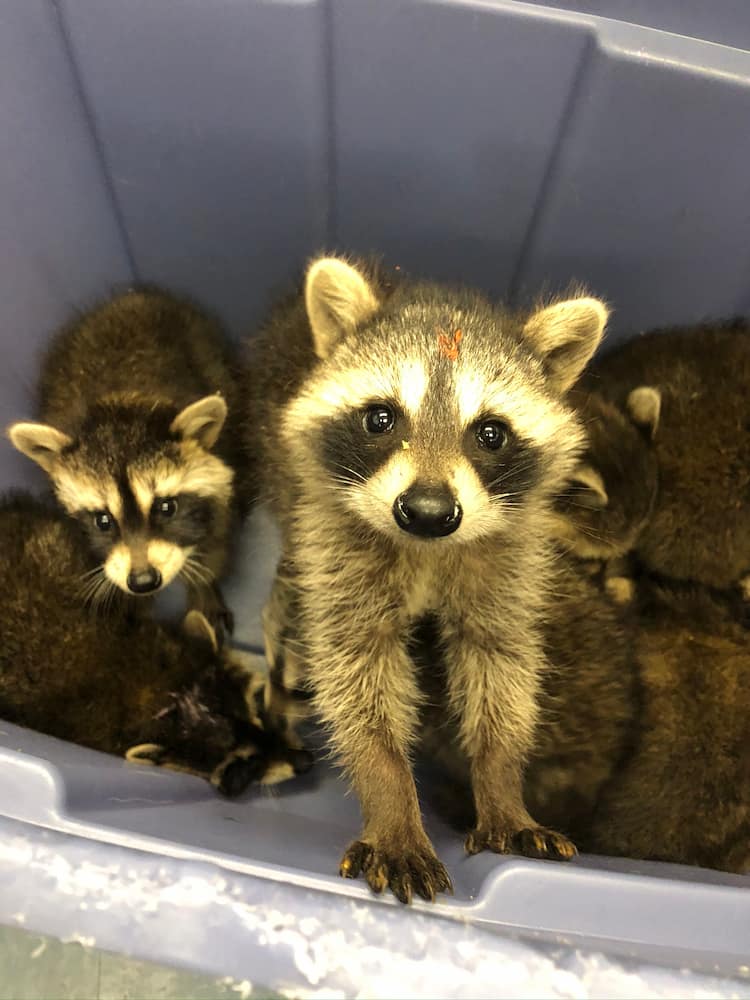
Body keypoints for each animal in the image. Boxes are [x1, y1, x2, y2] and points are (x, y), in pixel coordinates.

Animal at [7, 288, 245, 635]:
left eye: (166, 507)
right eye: (102, 521)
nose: (143, 581)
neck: (122, 403)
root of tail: (131, 296)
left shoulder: (222, 474)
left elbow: (214, 540)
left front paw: (203, 585)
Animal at [245, 254, 608, 902]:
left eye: (490, 433)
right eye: (381, 418)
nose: (429, 512)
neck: (428, 549)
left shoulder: (508, 557)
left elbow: (500, 664)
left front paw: (501, 780)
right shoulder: (334, 542)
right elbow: (358, 678)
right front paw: (391, 796)